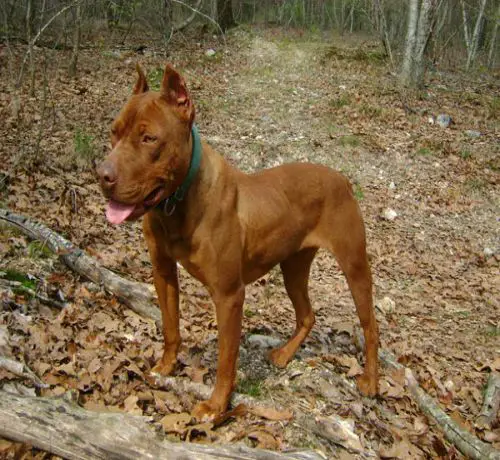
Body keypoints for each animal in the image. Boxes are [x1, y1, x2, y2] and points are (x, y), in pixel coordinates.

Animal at [96, 63, 378, 420]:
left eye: (149, 139)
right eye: (114, 132)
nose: (101, 175)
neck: (179, 201)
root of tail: (342, 178)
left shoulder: (229, 295)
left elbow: (226, 359)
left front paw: (217, 406)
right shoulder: (163, 272)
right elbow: (171, 327)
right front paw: (166, 366)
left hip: (354, 268)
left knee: (370, 327)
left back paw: (371, 382)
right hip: (293, 267)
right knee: (307, 314)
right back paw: (284, 355)